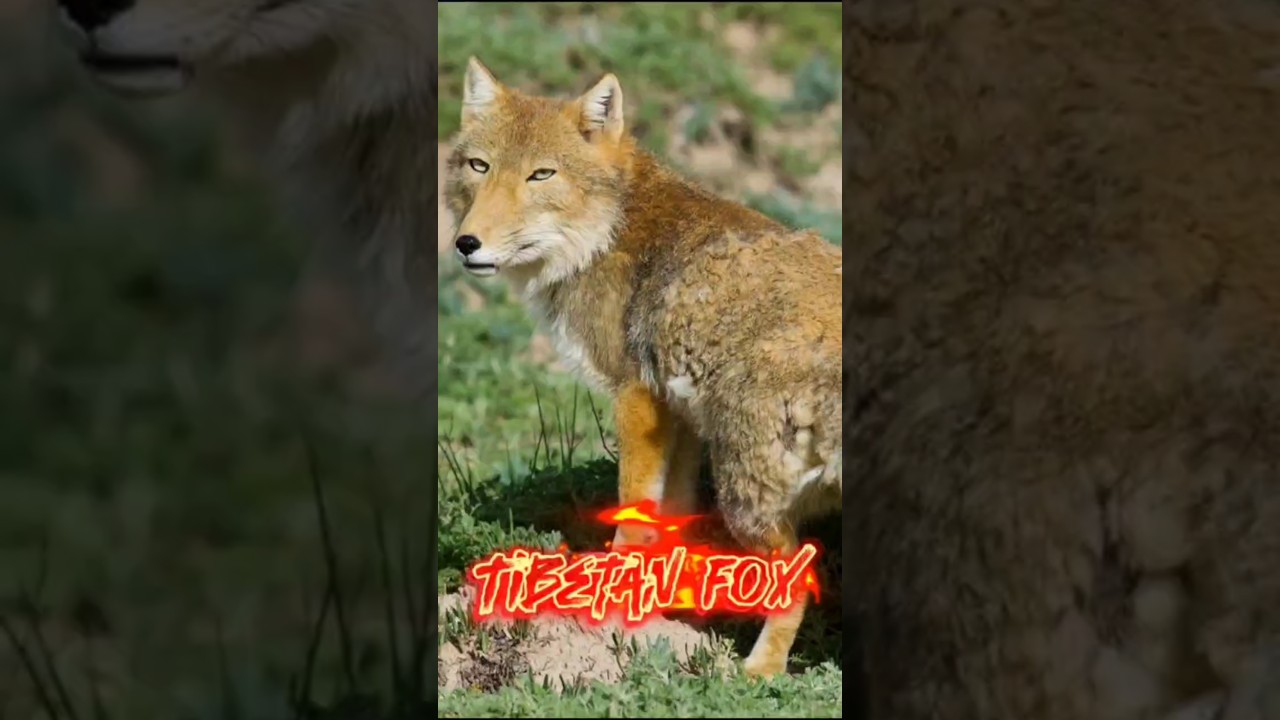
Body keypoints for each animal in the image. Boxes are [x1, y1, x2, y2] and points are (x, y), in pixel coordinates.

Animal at [443, 57, 843, 678]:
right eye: (478, 166)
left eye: (541, 175)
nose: (467, 243)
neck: (608, 231)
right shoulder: (678, 414)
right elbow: (672, 516)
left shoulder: (636, 399)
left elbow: (633, 517)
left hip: (744, 499)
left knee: (797, 577)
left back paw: (758, 673)